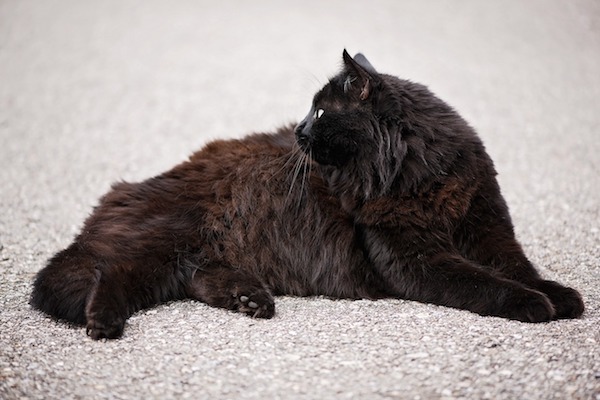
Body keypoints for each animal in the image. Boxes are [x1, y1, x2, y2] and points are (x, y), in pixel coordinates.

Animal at [30, 48, 584, 340]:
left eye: (320, 112)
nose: (297, 130)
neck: (416, 176)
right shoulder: (412, 256)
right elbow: (484, 282)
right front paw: (534, 304)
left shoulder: (486, 225)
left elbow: (517, 267)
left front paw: (560, 296)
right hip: (163, 243)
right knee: (109, 273)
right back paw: (104, 321)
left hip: (187, 255)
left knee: (198, 276)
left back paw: (250, 301)